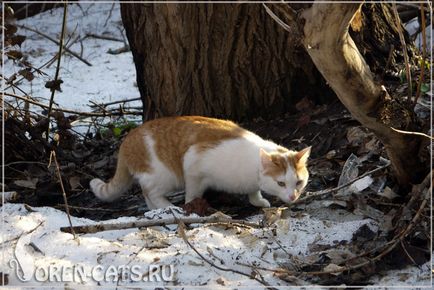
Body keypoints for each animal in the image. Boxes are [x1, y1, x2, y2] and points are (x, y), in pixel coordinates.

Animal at [90, 115, 310, 208]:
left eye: (299, 182)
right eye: (281, 183)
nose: (293, 196)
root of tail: (127, 139)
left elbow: (253, 192)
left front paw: (257, 200)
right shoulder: (193, 163)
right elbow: (193, 195)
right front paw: (191, 208)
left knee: (146, 193)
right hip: (165, 175)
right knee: (151, 191)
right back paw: (168, 208)